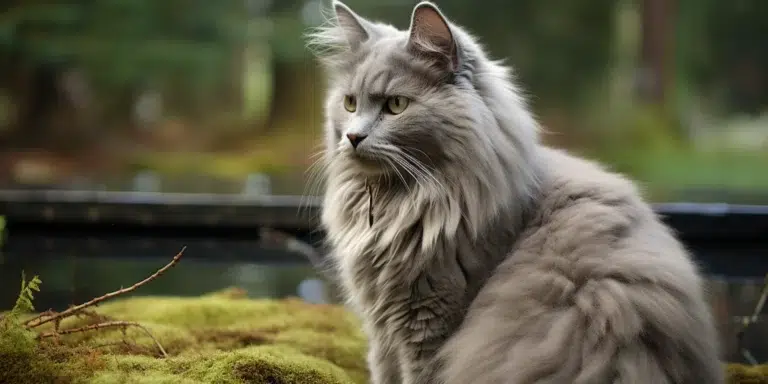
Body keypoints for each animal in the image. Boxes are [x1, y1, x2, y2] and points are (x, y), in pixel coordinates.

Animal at [308, 3, 728, 384]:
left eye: (396, 105)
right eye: (349, 103)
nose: (353, 137)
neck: (401, 204)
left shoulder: (428, 320)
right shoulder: (382, 329)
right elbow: (383, 372)